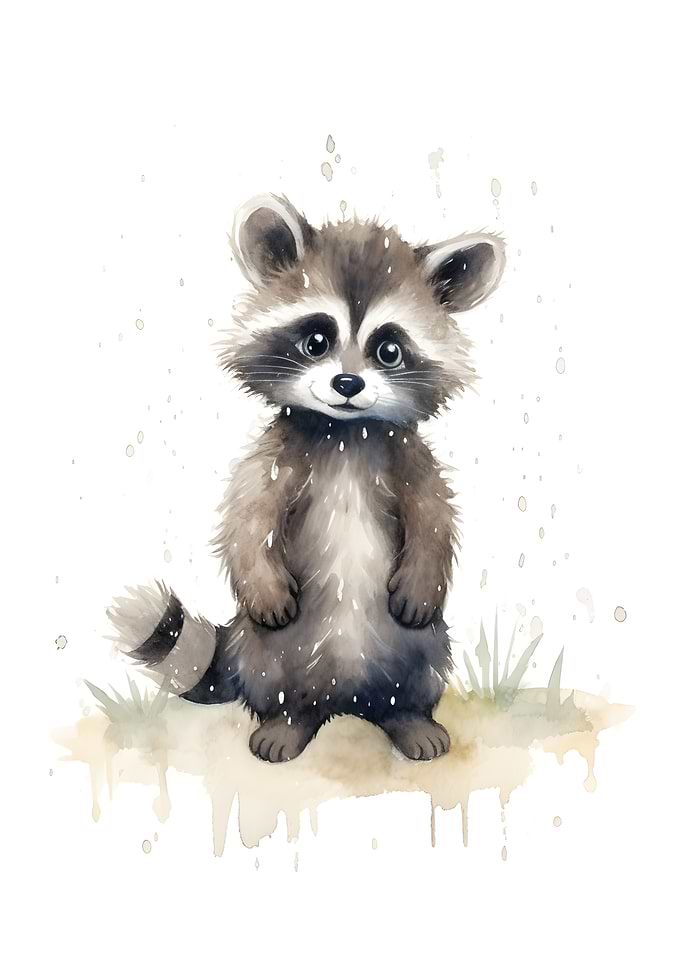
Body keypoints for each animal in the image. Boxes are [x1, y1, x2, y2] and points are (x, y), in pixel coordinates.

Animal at [108, 194, 505, 763]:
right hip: (266, 649)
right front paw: (261, 578)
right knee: (280, 681)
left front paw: (424, 572)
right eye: (317, 339)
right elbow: (246, 513)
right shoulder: (277, 454)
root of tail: (346, 699)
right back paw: (288, 721)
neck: (345, 432)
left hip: (421, 644)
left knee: (419, 668)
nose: (348, 383)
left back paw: (408, 717)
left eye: (389, 349)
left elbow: (434, 512)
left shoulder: (408, 454)